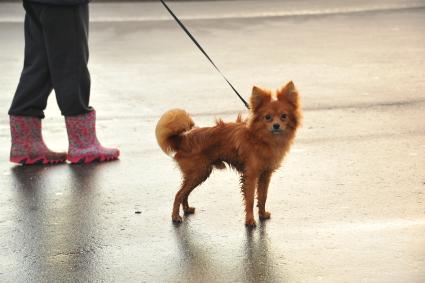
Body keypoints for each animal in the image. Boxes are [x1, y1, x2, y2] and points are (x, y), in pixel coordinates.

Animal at [156, 81, 302, 227]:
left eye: (284, 116)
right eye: (268, 117)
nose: (276, 125)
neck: (261, 138)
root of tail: (183, 138)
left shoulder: (265, 175)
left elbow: (263, 196)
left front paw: (262, 214)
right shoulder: (250, 175)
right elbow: (250, 199)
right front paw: (250, 220)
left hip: (198, 174)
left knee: (184, 193)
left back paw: (186, 209)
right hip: (198, 173)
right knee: (178, 194)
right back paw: (175, 216)